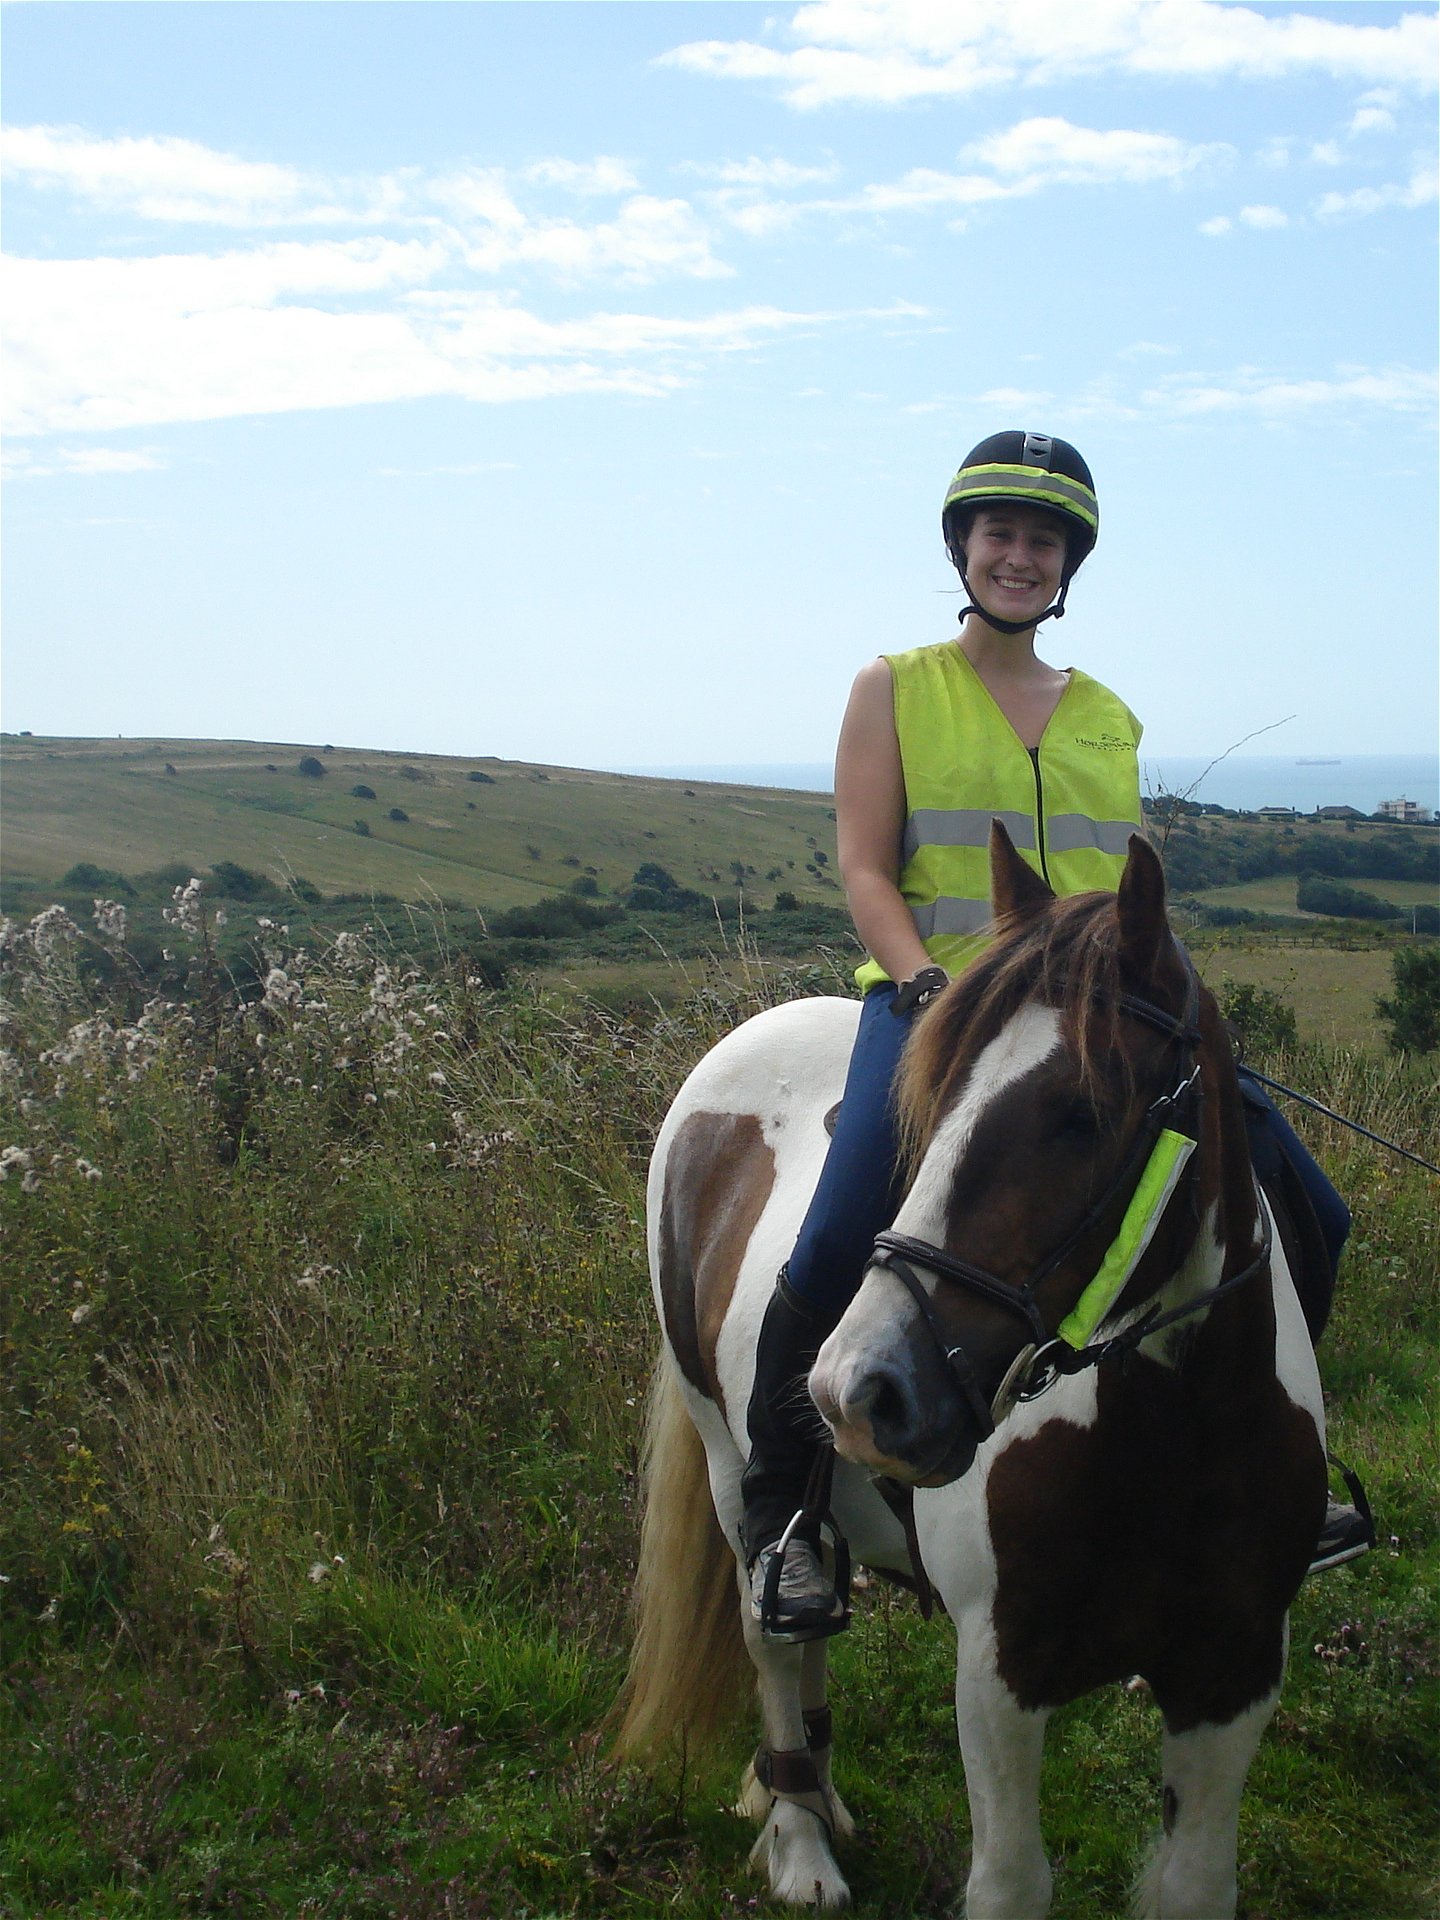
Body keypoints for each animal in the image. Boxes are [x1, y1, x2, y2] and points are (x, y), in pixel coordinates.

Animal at [613, 825, 1328, 1918]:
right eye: (928, 1101)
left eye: (1082, 1112)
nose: (861, 1394)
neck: (1173, 1434)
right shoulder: (1000, 1673)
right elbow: (1009, 1883)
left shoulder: (1233, 1670)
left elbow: (1195, 1883)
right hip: (728, 1461)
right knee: (774, 1633)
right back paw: (800, 1841)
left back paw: (815, 1797)